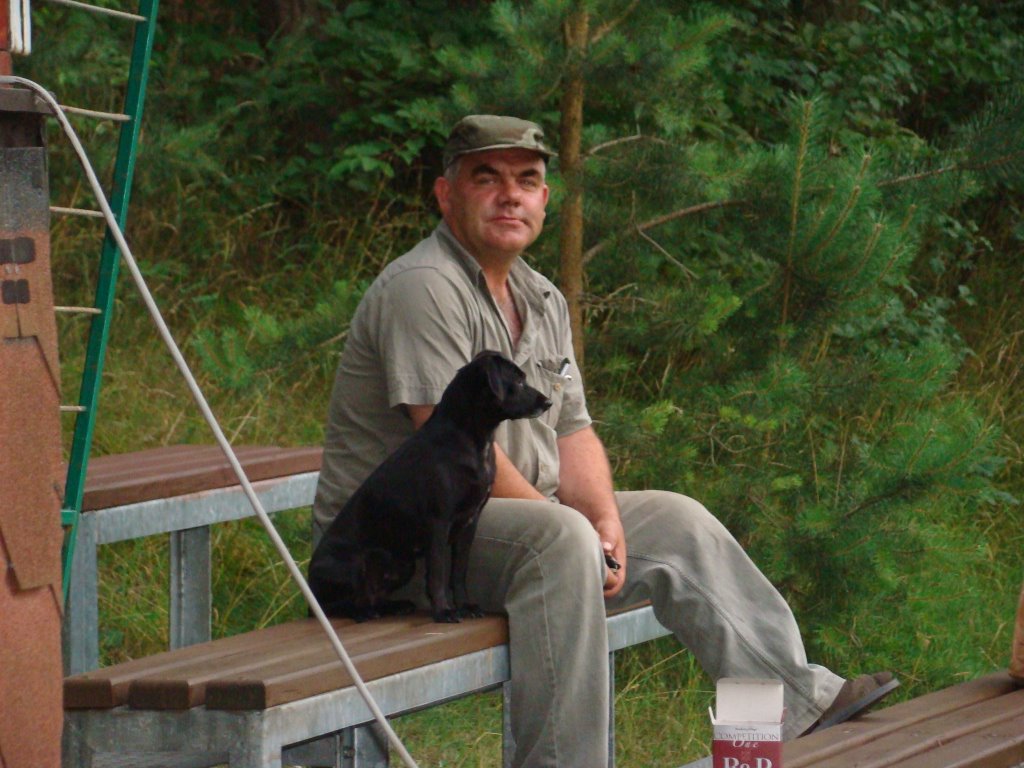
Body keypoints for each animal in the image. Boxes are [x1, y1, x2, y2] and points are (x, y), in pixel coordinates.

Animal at [309, 351, 552, 623]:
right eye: (518, 382)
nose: (548, 402)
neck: (473, 441)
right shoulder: (438, 523)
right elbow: (437, 574)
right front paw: (443, 611)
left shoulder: (469, 523)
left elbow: (458, 572)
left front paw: (465, 606)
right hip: (353, 565)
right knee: (332, 606)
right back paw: (363, 612)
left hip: (402, 565)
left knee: (372, 596)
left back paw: (393, 606)